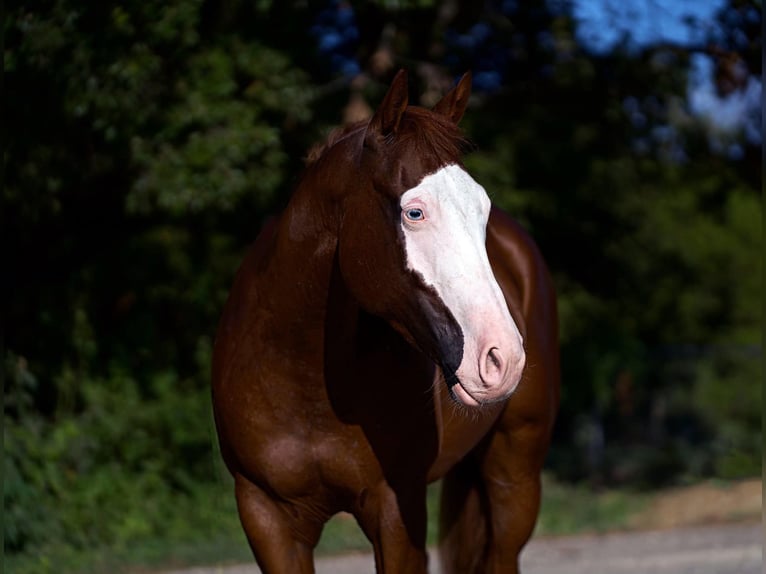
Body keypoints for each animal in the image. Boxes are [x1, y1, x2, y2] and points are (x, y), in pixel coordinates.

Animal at [213, 72, 560, 574]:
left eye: (483, 209)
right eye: (414, 212)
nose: (503, 357)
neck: (303, 382)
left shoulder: (398, 512)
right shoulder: (267, 518)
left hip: (515, 474)